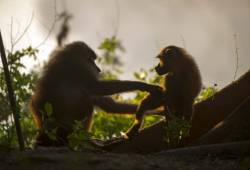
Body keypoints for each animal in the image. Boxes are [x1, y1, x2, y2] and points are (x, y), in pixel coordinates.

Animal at [29, 41, 162, 146]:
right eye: (91, 60)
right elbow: (97, 87)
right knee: (87, 104)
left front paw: (158, 110)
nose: (98, 69)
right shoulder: (78, 67)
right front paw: (143, 86)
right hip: (65, 127)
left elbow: (108, 105)